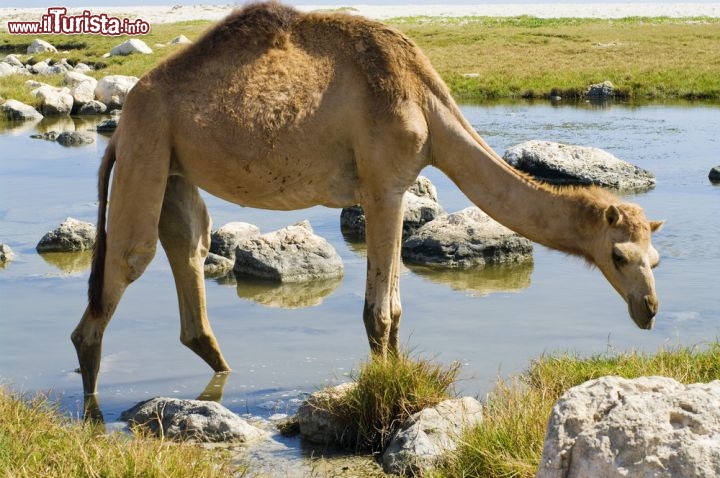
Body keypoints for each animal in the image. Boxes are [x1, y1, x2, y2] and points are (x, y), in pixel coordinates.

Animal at [73, 2, 664, 400]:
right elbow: (379, 311)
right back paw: (94, 408)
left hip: (172, 162)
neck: (428, 108)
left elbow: (395, 309)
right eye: (619, 255)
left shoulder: (395, 185)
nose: (649, 309)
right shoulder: (384, 183)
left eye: (654, 259)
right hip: (147, 144)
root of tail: (126, 112)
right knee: (126, 263)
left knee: (189, 243)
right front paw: (384, 394)